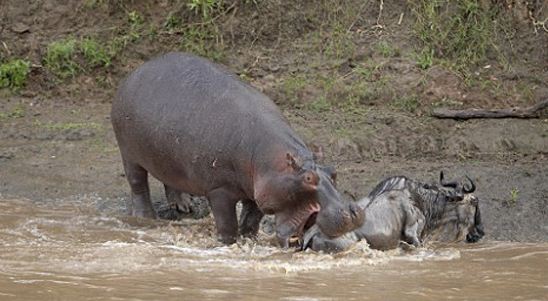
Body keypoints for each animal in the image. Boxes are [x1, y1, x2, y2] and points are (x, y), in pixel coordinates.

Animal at [111, 52, 364, 246]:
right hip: (128, 152)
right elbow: (227, 223)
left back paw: (184, 206)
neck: (271, 159)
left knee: (169, 179)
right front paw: (227, 243)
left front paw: (249, 239)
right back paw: (145, 217)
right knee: (138, 184)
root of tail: (136, 71)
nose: (352, 211)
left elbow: (251, 219)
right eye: (309, 178)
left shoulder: (260, 189)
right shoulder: (219, 190)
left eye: (333, 172)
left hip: (167, 155)